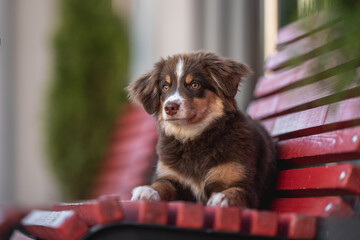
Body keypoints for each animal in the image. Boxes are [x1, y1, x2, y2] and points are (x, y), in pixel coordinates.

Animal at [126, 51, 276, 208]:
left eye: (195, 85)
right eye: (165, 87)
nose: (170, 107)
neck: (192, 138)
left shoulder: (246, 187)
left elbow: (235, 191)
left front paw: (221, 198)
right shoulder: (173, 178)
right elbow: (162, 184)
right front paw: (147, 190)